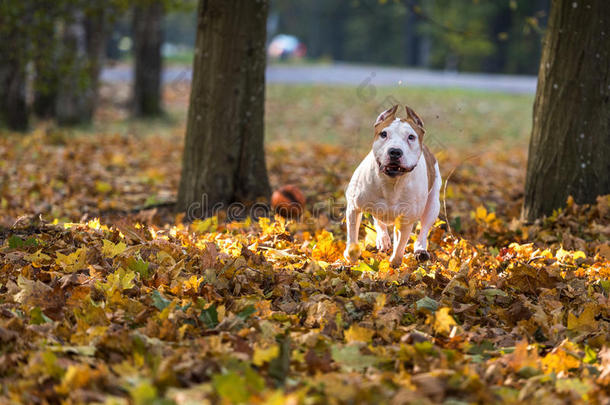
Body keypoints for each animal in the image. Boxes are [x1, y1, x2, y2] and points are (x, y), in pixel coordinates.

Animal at [342, 104, 436, 266]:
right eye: (383, 134)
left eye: (411, 137)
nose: (395, 151)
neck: (391, 184)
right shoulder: (354, 207)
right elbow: (353, 237)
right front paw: (351, 257)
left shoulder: (406, 219)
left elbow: (400, 248)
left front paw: (393, 264)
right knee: (379, 220)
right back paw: (383, 239)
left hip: (433, 205)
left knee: (423, 229)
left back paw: (420, 250)